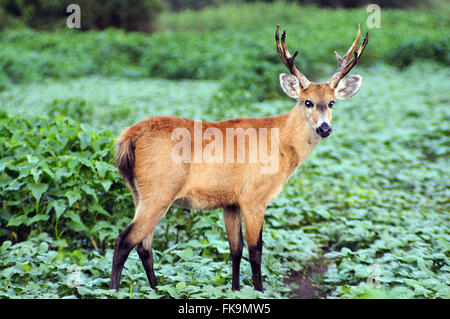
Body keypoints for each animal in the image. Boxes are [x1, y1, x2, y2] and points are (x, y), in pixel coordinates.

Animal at [110, 25, 370, 292]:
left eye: (331, 103)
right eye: (307, 102)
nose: (325, 128)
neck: (281, 141)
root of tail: (128, 137)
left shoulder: (231, 201)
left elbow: (235, 249)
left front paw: (235, 289)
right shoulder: (254, 196)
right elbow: (256, 251)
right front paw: (260, 291)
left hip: (138, 192)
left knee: (144, 247)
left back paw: (156, 290)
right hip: (160, 190)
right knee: (124, 240)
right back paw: (113, 290)